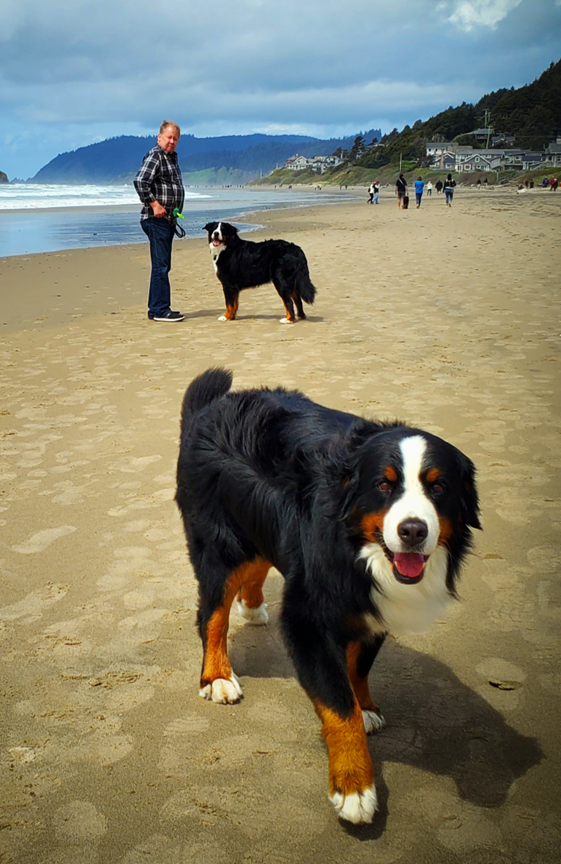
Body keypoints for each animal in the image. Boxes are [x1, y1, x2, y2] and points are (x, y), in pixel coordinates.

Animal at [175, 369, 481, 825]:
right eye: (383, 485)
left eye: (438, 487)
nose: (413, 530)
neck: (359, 552)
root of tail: (211, 406)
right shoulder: (308, 620)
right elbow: (338, 706)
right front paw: (354, 786)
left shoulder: (373, 613)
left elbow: (358, 668)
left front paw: (366, 706)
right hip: (220, 545)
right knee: (212, 615)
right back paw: (217, 676)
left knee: (257, 565)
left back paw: (253, 607)